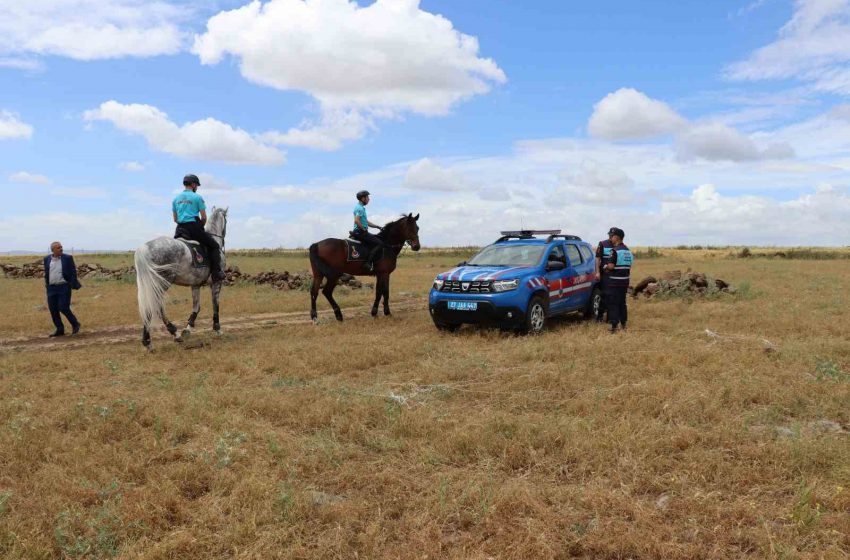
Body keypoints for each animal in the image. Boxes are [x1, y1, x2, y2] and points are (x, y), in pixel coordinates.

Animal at [133, 207, 227, 346]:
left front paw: (188, 329)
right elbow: (216, 304)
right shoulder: (216, 283)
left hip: (149, 284)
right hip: (162, 283)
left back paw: (152, 339)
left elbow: (196, 307)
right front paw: (217, 329)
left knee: (150, 307)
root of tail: (145, 247)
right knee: (157, 307)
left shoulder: (195, 285)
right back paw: (169, 335)